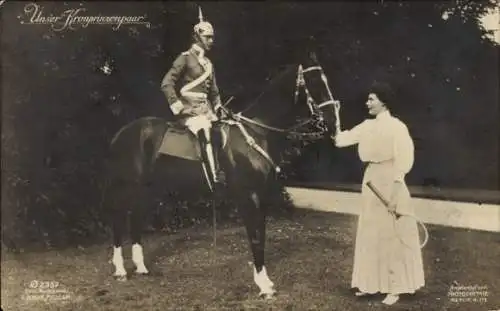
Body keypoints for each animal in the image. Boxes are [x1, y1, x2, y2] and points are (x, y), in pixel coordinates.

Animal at [105, 50, 340, 298]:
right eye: (314, 81)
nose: (334, 121)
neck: (257, 131)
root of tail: (121, 133)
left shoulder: (261, 196)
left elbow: (261, 235)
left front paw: (264, 281)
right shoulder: (249, 196)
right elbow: (255, 236)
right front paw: (263, 285)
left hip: (147, 189)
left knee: (135, 219)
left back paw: (141, 267)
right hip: (128, 186)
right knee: (118, 219)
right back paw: (120, 270)